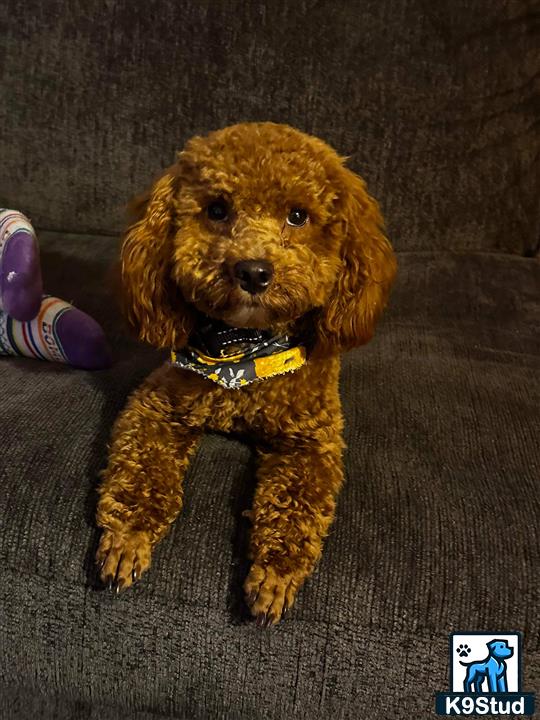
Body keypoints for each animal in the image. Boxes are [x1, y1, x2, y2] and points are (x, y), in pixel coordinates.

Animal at [95, 122, 394, 624]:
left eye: (298, 215)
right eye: (217, 209)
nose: (253, 271)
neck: (242, 355)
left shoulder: (311, 441)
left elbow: (295, 507)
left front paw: (274, 575)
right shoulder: (155, 405)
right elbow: (141, 472)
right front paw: (126, 539)